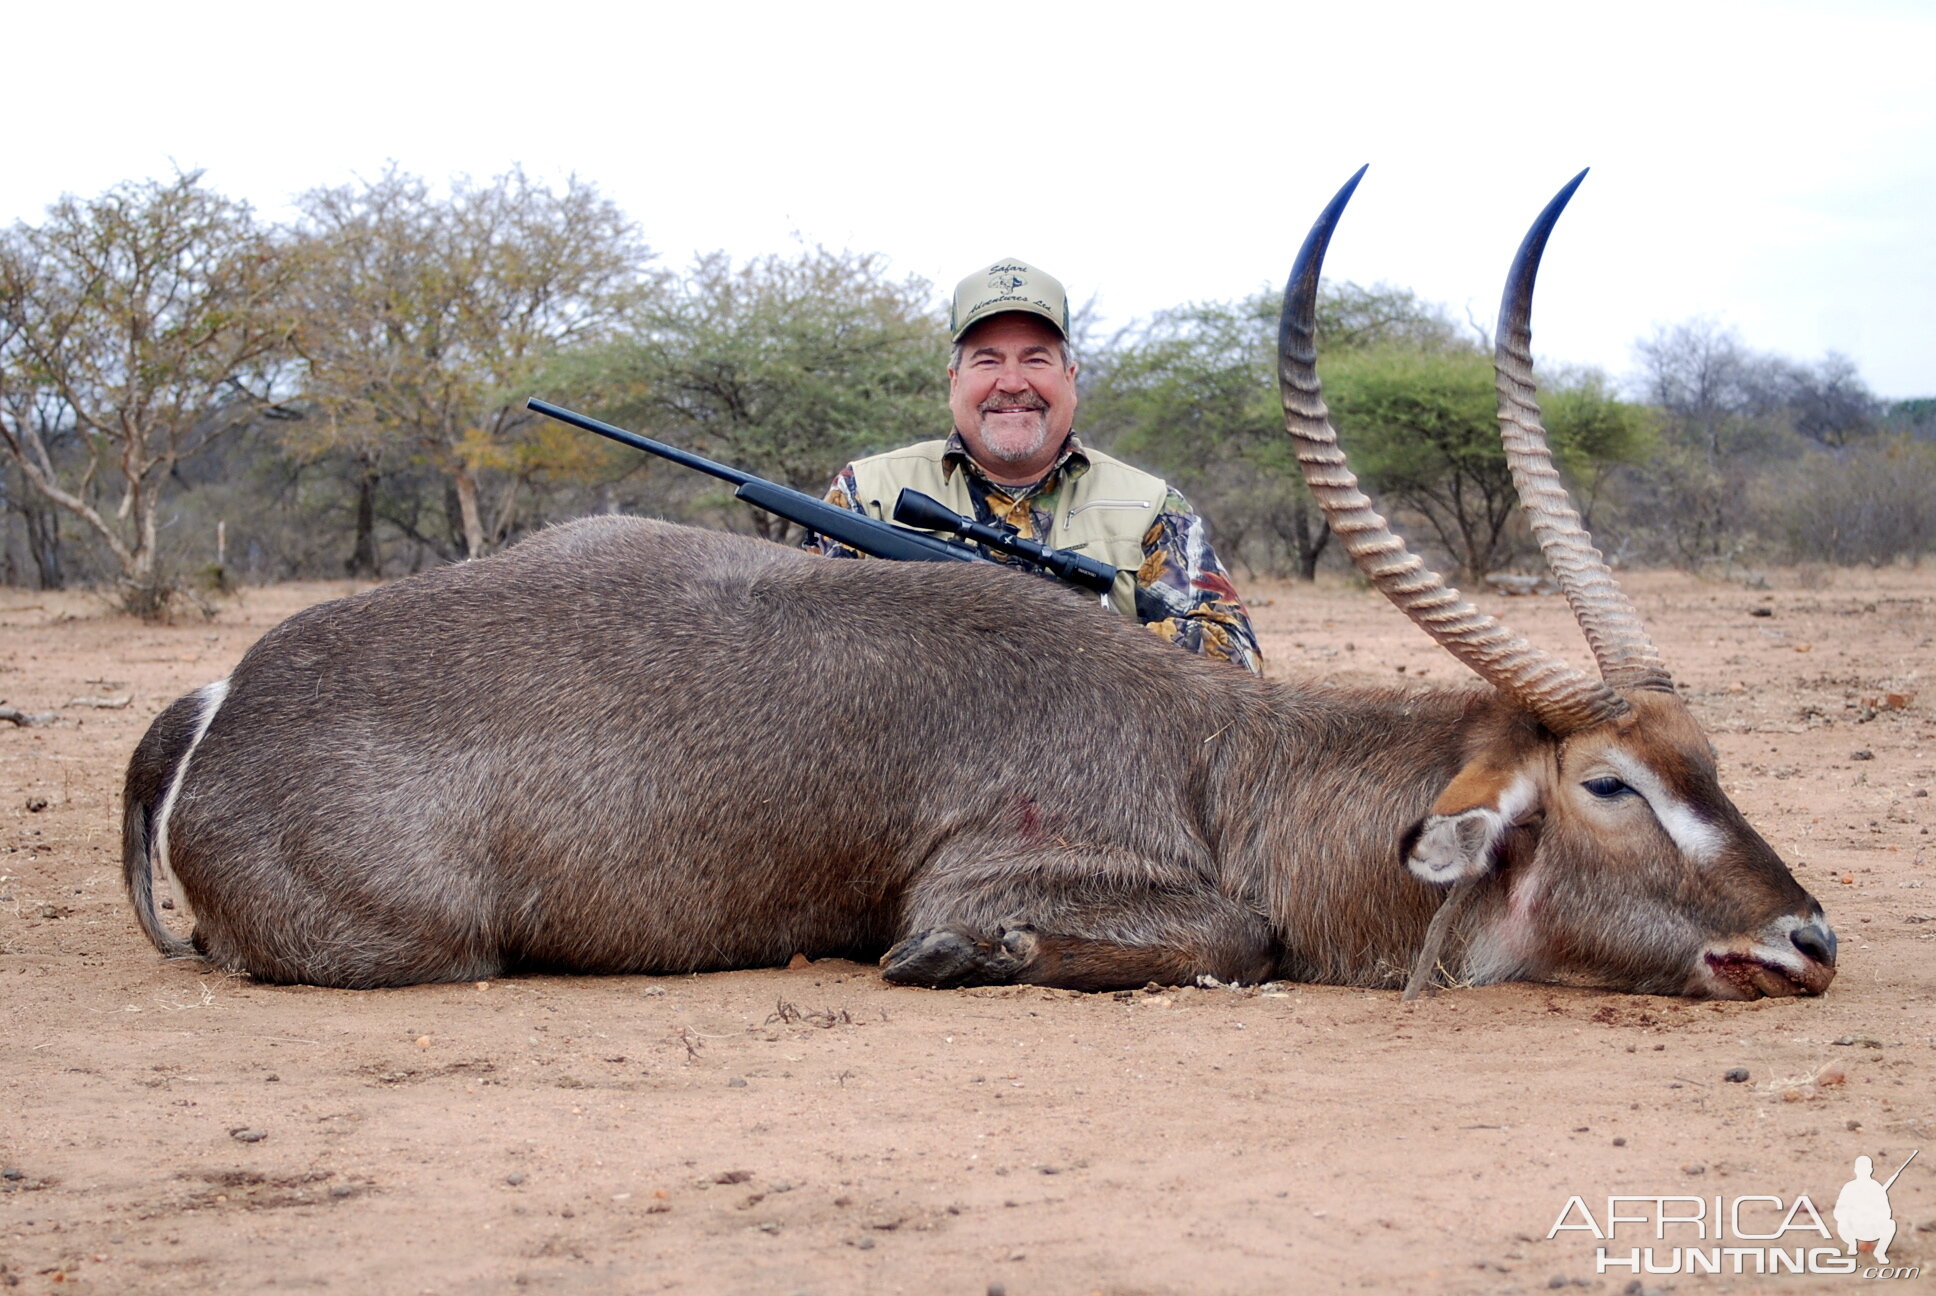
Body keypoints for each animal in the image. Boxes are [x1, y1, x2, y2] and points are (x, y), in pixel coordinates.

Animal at [121, 174, 1843, 999]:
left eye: (1711, 764)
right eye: (1612, 783)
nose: (1811, 939)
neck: (1234, 766)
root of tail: (228, 692)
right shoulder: (990, 868)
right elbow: (1234, 937)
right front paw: (968, 959)